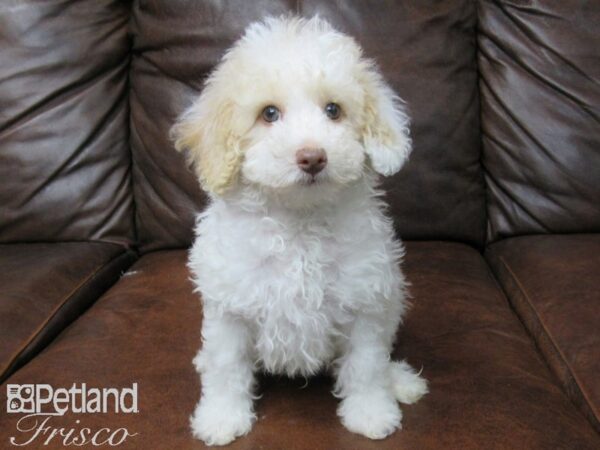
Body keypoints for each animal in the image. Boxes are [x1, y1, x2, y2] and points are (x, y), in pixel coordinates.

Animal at [171, 14, 428, 446]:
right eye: (269, 113)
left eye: (333, 110)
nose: (312, 157)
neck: (298, 223)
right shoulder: (230, 308)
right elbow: (227, 366)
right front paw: (222, 418)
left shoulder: (365, 302)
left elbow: (366, 365)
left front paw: (371, 413)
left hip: (393, 299)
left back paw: (399, 381)